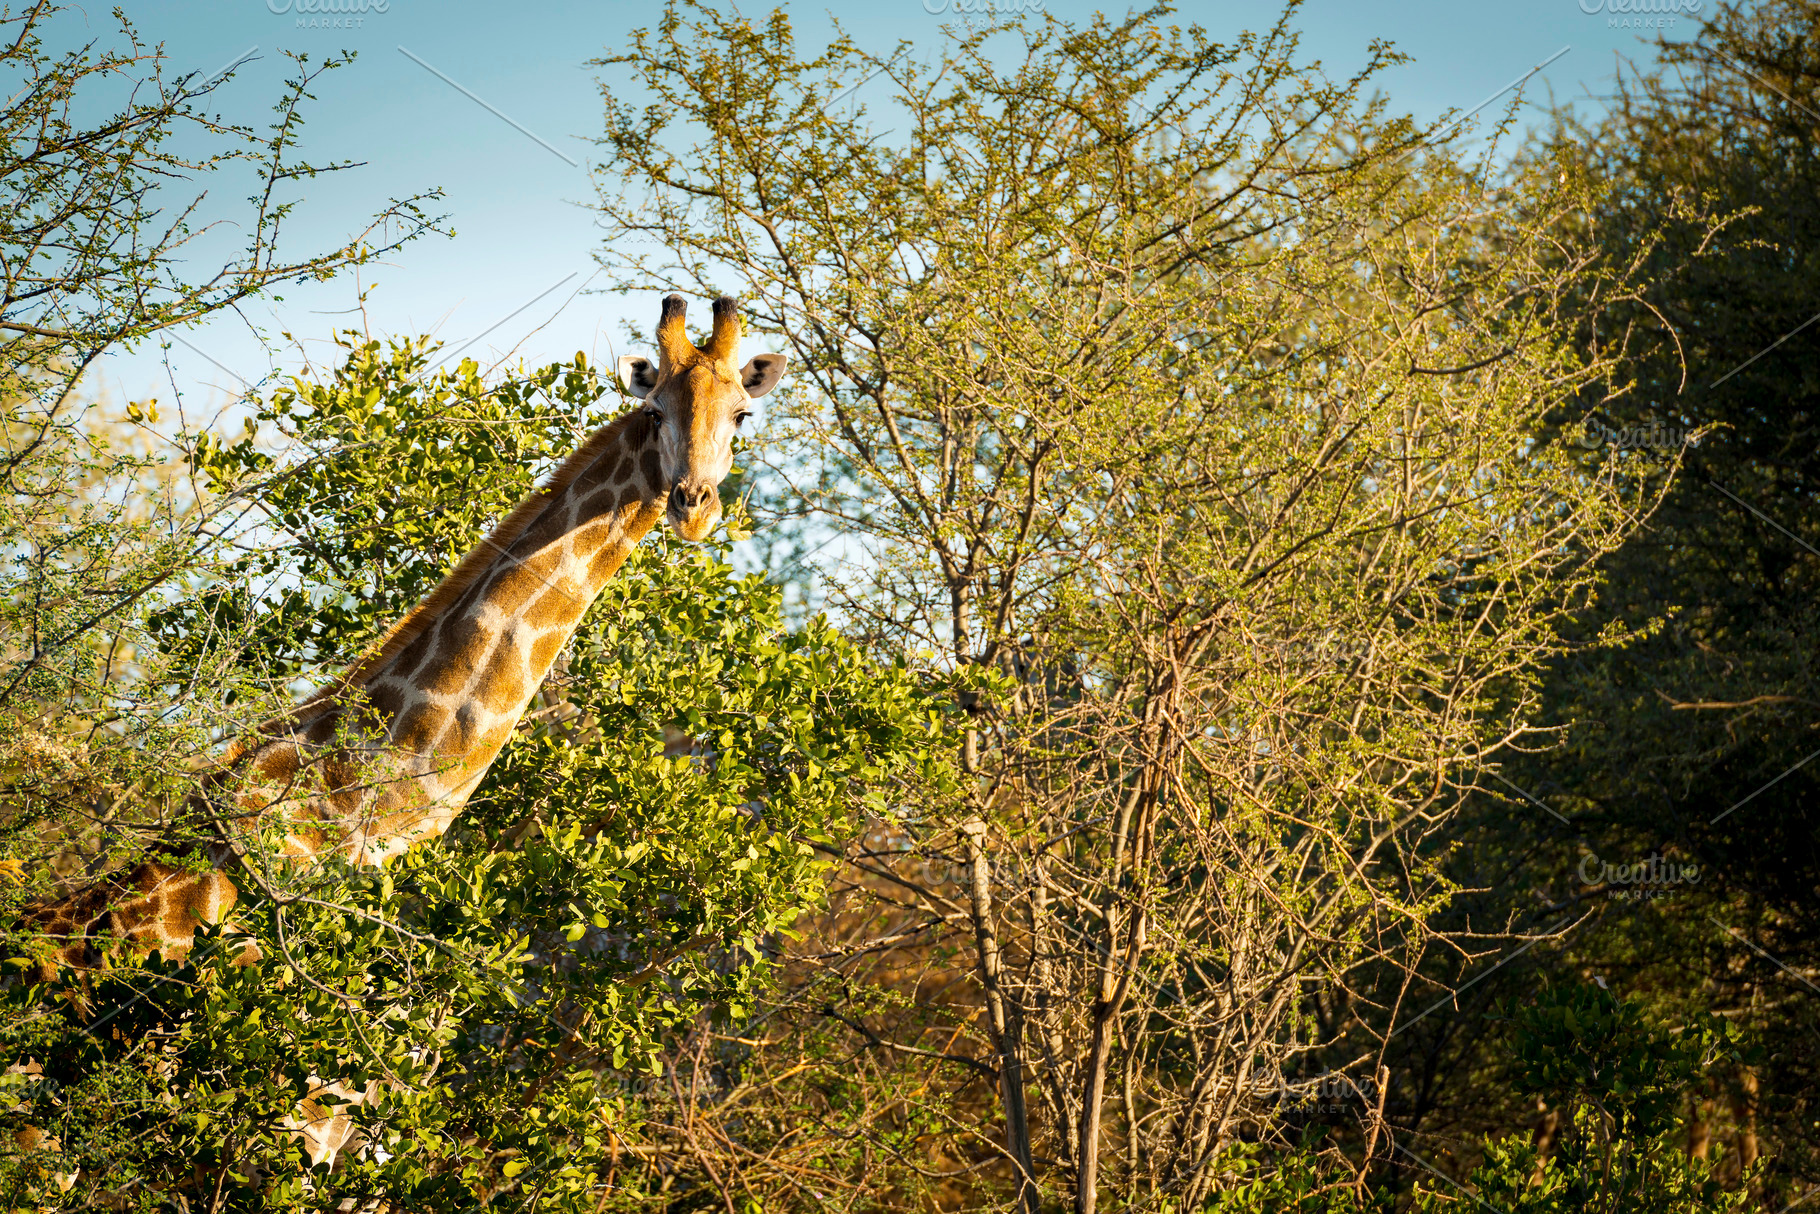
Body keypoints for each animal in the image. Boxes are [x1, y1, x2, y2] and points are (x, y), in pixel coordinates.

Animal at [19, 292, 787, 1172]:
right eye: (655, 407)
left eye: (742, 413)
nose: (695, 504)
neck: (357, 822)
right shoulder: (307, 1111)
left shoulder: (362, 1115)